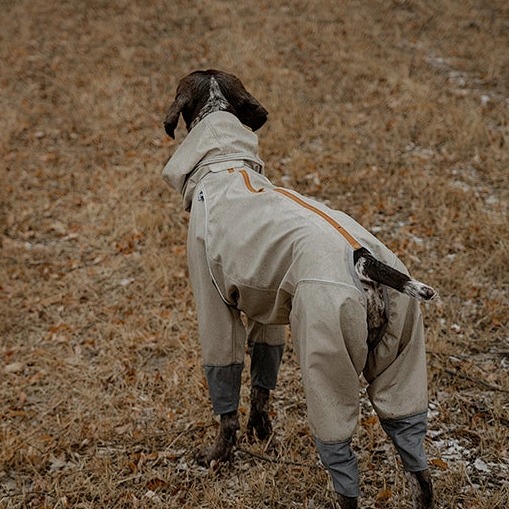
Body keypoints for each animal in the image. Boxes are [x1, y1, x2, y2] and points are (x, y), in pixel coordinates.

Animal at [161, 70, 434, 508]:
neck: (225, 166)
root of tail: (364, 260)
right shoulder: (267, 307)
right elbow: (261, 382)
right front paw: (262, 434)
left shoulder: (215, 303)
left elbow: (227, 399)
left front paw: (218, 456)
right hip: (400, 360)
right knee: (416, 461)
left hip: (328, 360)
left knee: (343, 465)